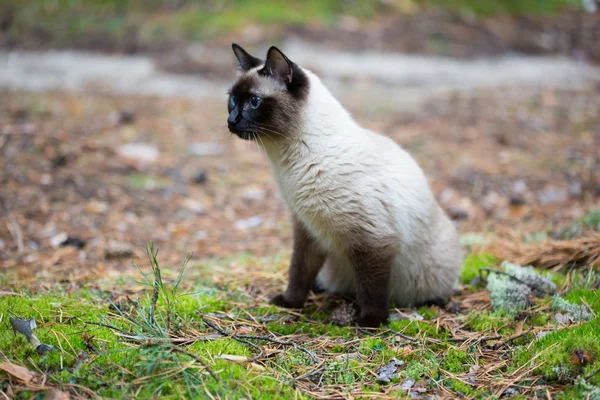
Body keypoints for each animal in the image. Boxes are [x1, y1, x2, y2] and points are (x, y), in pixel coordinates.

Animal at [226, 43, 464, 326]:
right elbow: (298, 272)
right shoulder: (308, 230)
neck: (289, 166)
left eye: (254, 102)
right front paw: (290, 304)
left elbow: (372, 289)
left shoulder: (372, 240)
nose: (231, 120)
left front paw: (371, 322)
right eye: (231, 101)